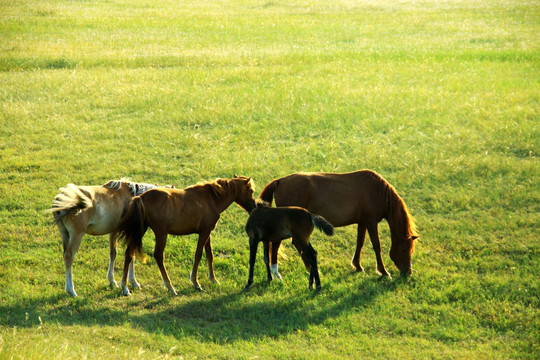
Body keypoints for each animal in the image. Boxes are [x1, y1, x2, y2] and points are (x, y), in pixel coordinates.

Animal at [46, 179, 174, 296]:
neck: (134, 198)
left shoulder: (113, 232)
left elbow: (113, 254)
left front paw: (112, 281)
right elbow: (131, 255)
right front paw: (133, 282)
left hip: (65, 234)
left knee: (65, 255)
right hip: (76, 235)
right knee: (69, 257)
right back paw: (71, 290)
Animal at [117, 174, 256, 296]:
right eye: (251, 190)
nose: (254, 208)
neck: (211, 199)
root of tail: (141, 198)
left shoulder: (207, 232)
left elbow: (209, 255)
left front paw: (213, 279)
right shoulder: (204, 232)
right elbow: (198, 255)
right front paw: (195, 282)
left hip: (141, 230)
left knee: (129, 253)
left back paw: (125, 287)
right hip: (161, 234)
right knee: (158, 256)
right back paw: (170, 287)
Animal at [260, 170, 420, 280]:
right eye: (404, 249)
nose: (408, 272)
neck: (378, 192)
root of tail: (280, 181)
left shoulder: (362, 222)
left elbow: (360, 243)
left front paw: (357, 265)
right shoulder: (371, 221)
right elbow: (376, 246)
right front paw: (383, 271)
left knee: (296, 244)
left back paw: (309, 268)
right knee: (276, 245)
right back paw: (277, 273)